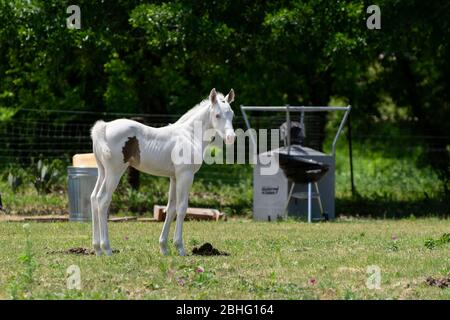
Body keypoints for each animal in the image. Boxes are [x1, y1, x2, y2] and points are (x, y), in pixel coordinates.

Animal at [89, 89, 236, 256]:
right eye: (217, 115)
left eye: (231, 114)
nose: (231, 138)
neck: (190, 135)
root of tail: (104, 127)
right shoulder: (185, 175)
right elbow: (182, 208)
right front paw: (180, 247)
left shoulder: (174, 177)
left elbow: (170, 209)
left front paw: (164, 247)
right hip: (114, 173)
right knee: (103, 200)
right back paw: (107, 249)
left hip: (102, 172)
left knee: (94, 198)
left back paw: (97, 249)